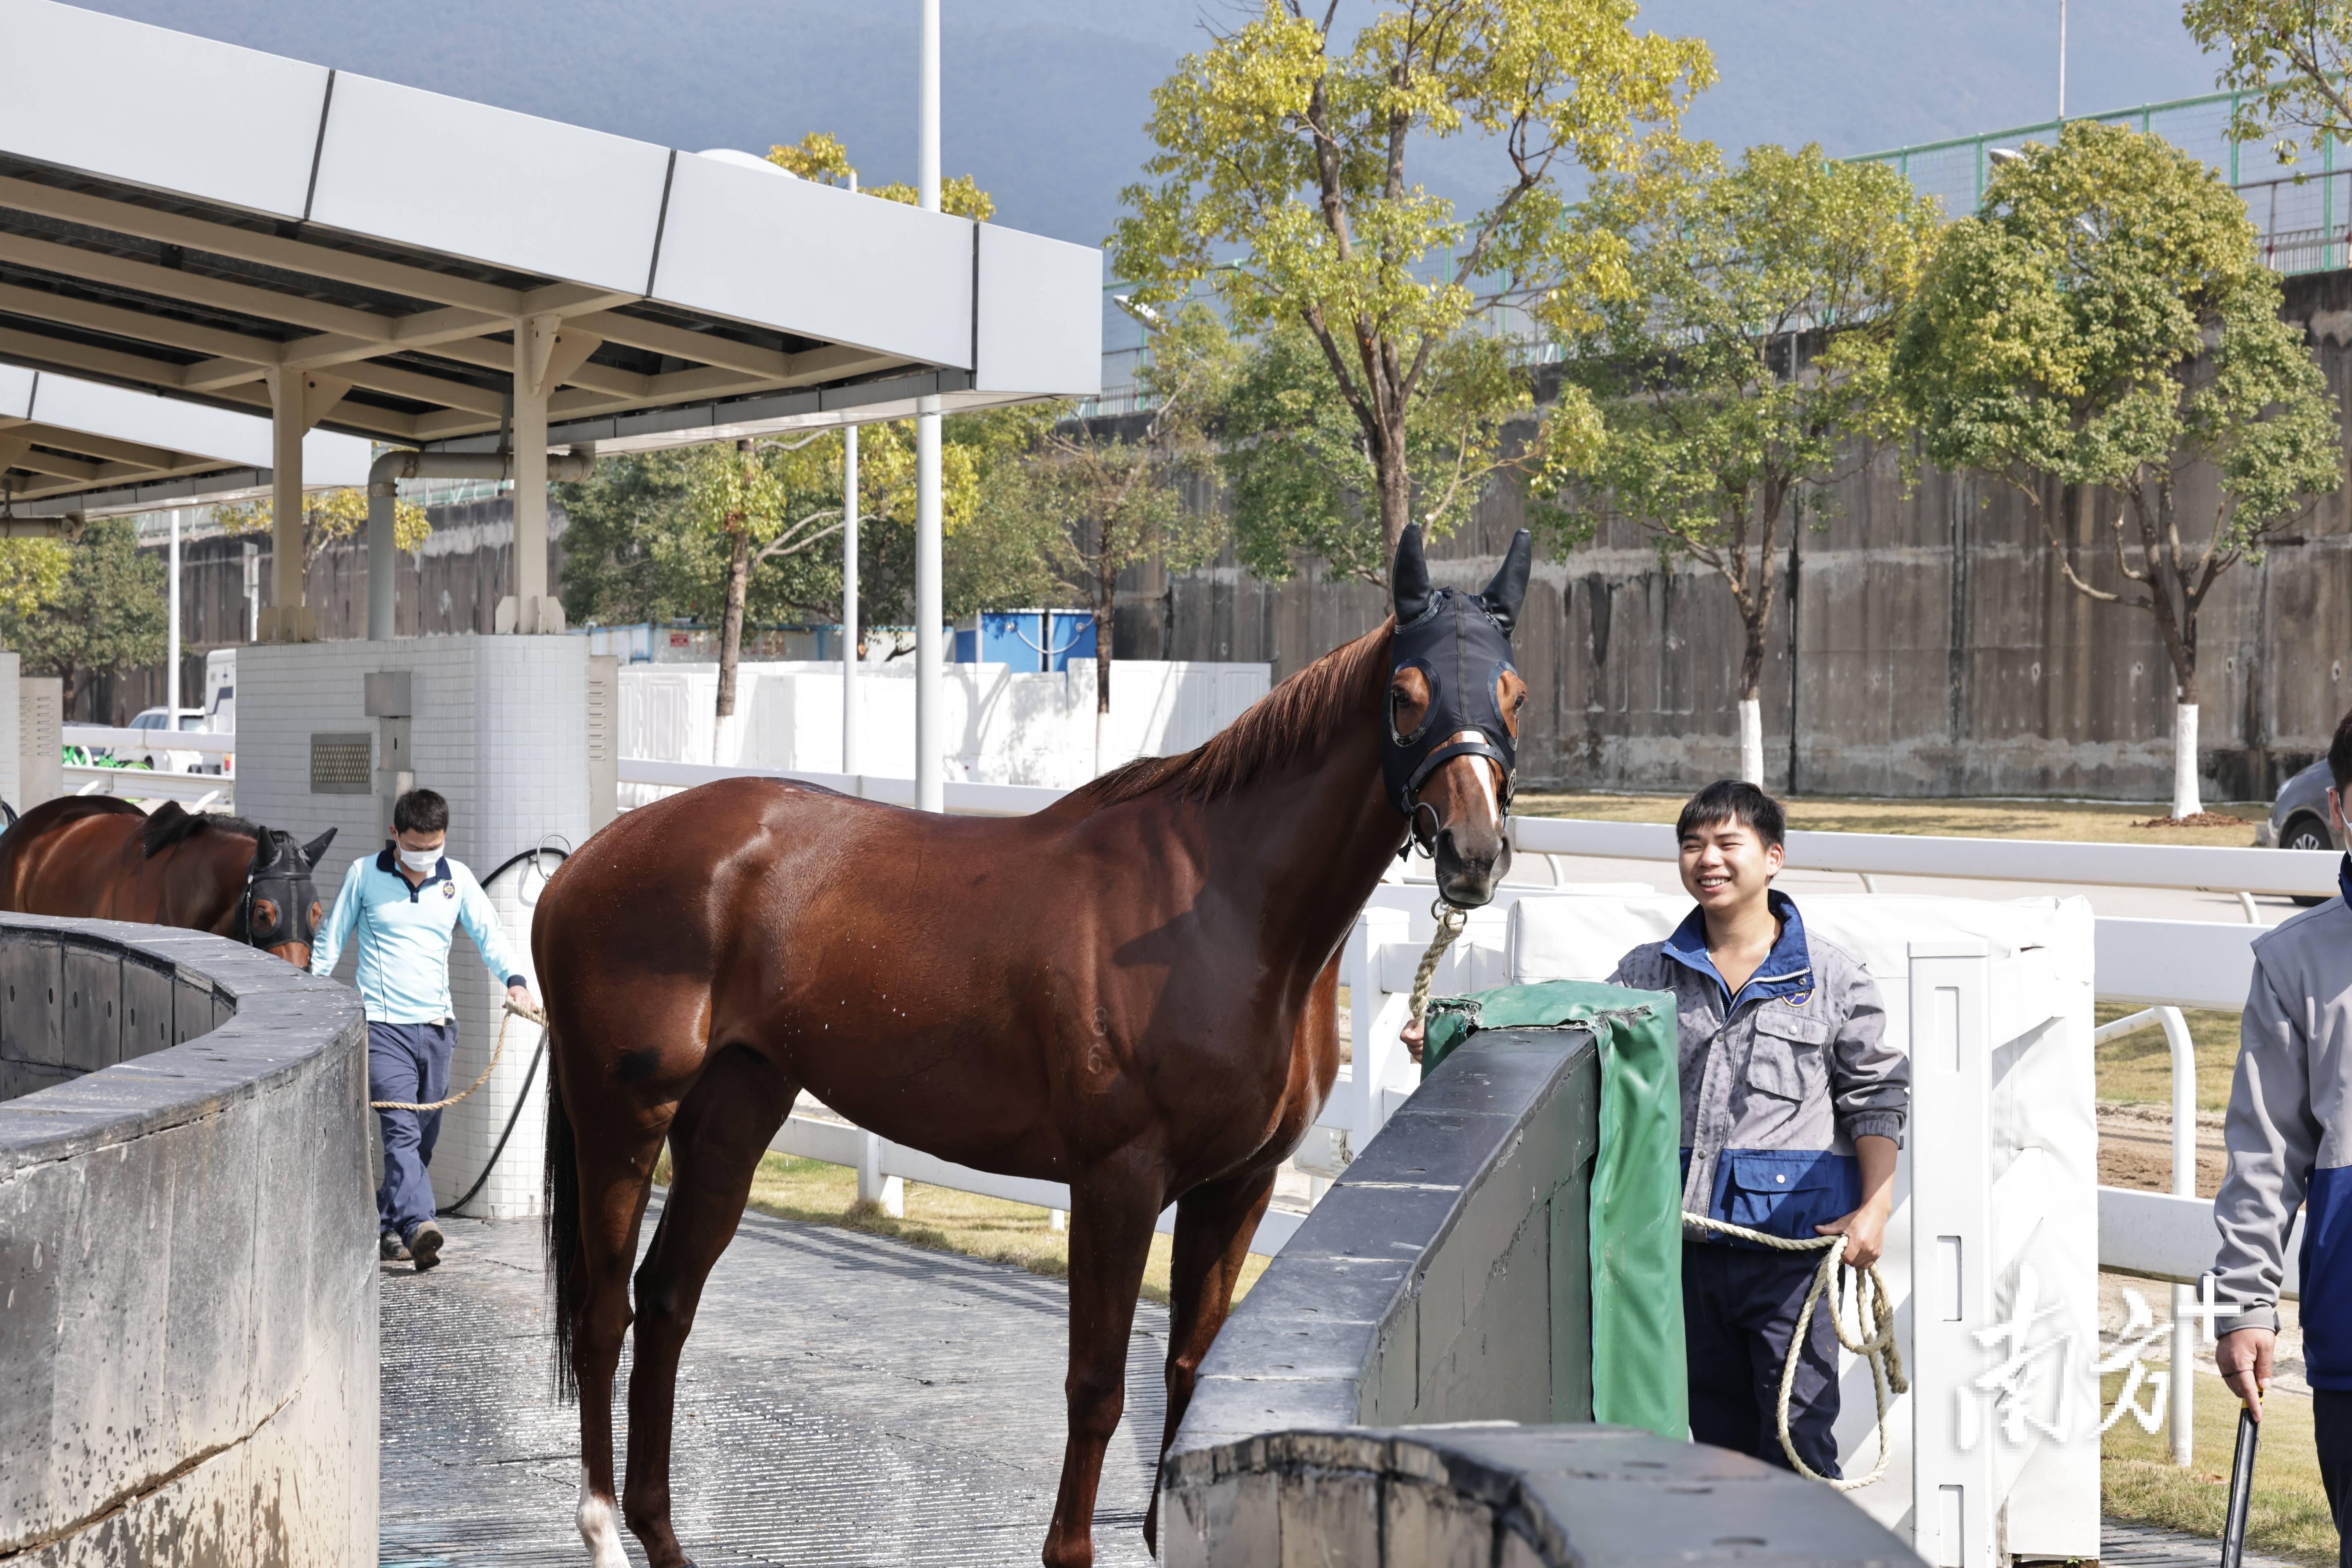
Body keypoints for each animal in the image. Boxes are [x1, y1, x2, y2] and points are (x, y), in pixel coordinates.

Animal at [536, 531, 1543, 1568]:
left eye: (1512, 693)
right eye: (1407, 694)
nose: (1472, 852)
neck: (1222, 905)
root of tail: (588, 859)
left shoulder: (1238, 1186)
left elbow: (1188, 1366)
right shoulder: (1118, 1182)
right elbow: (1096, 1386)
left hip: (733, 1114)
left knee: (665, 1301)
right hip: (622, 1118)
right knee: (603, 1313)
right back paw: (601, 1529)